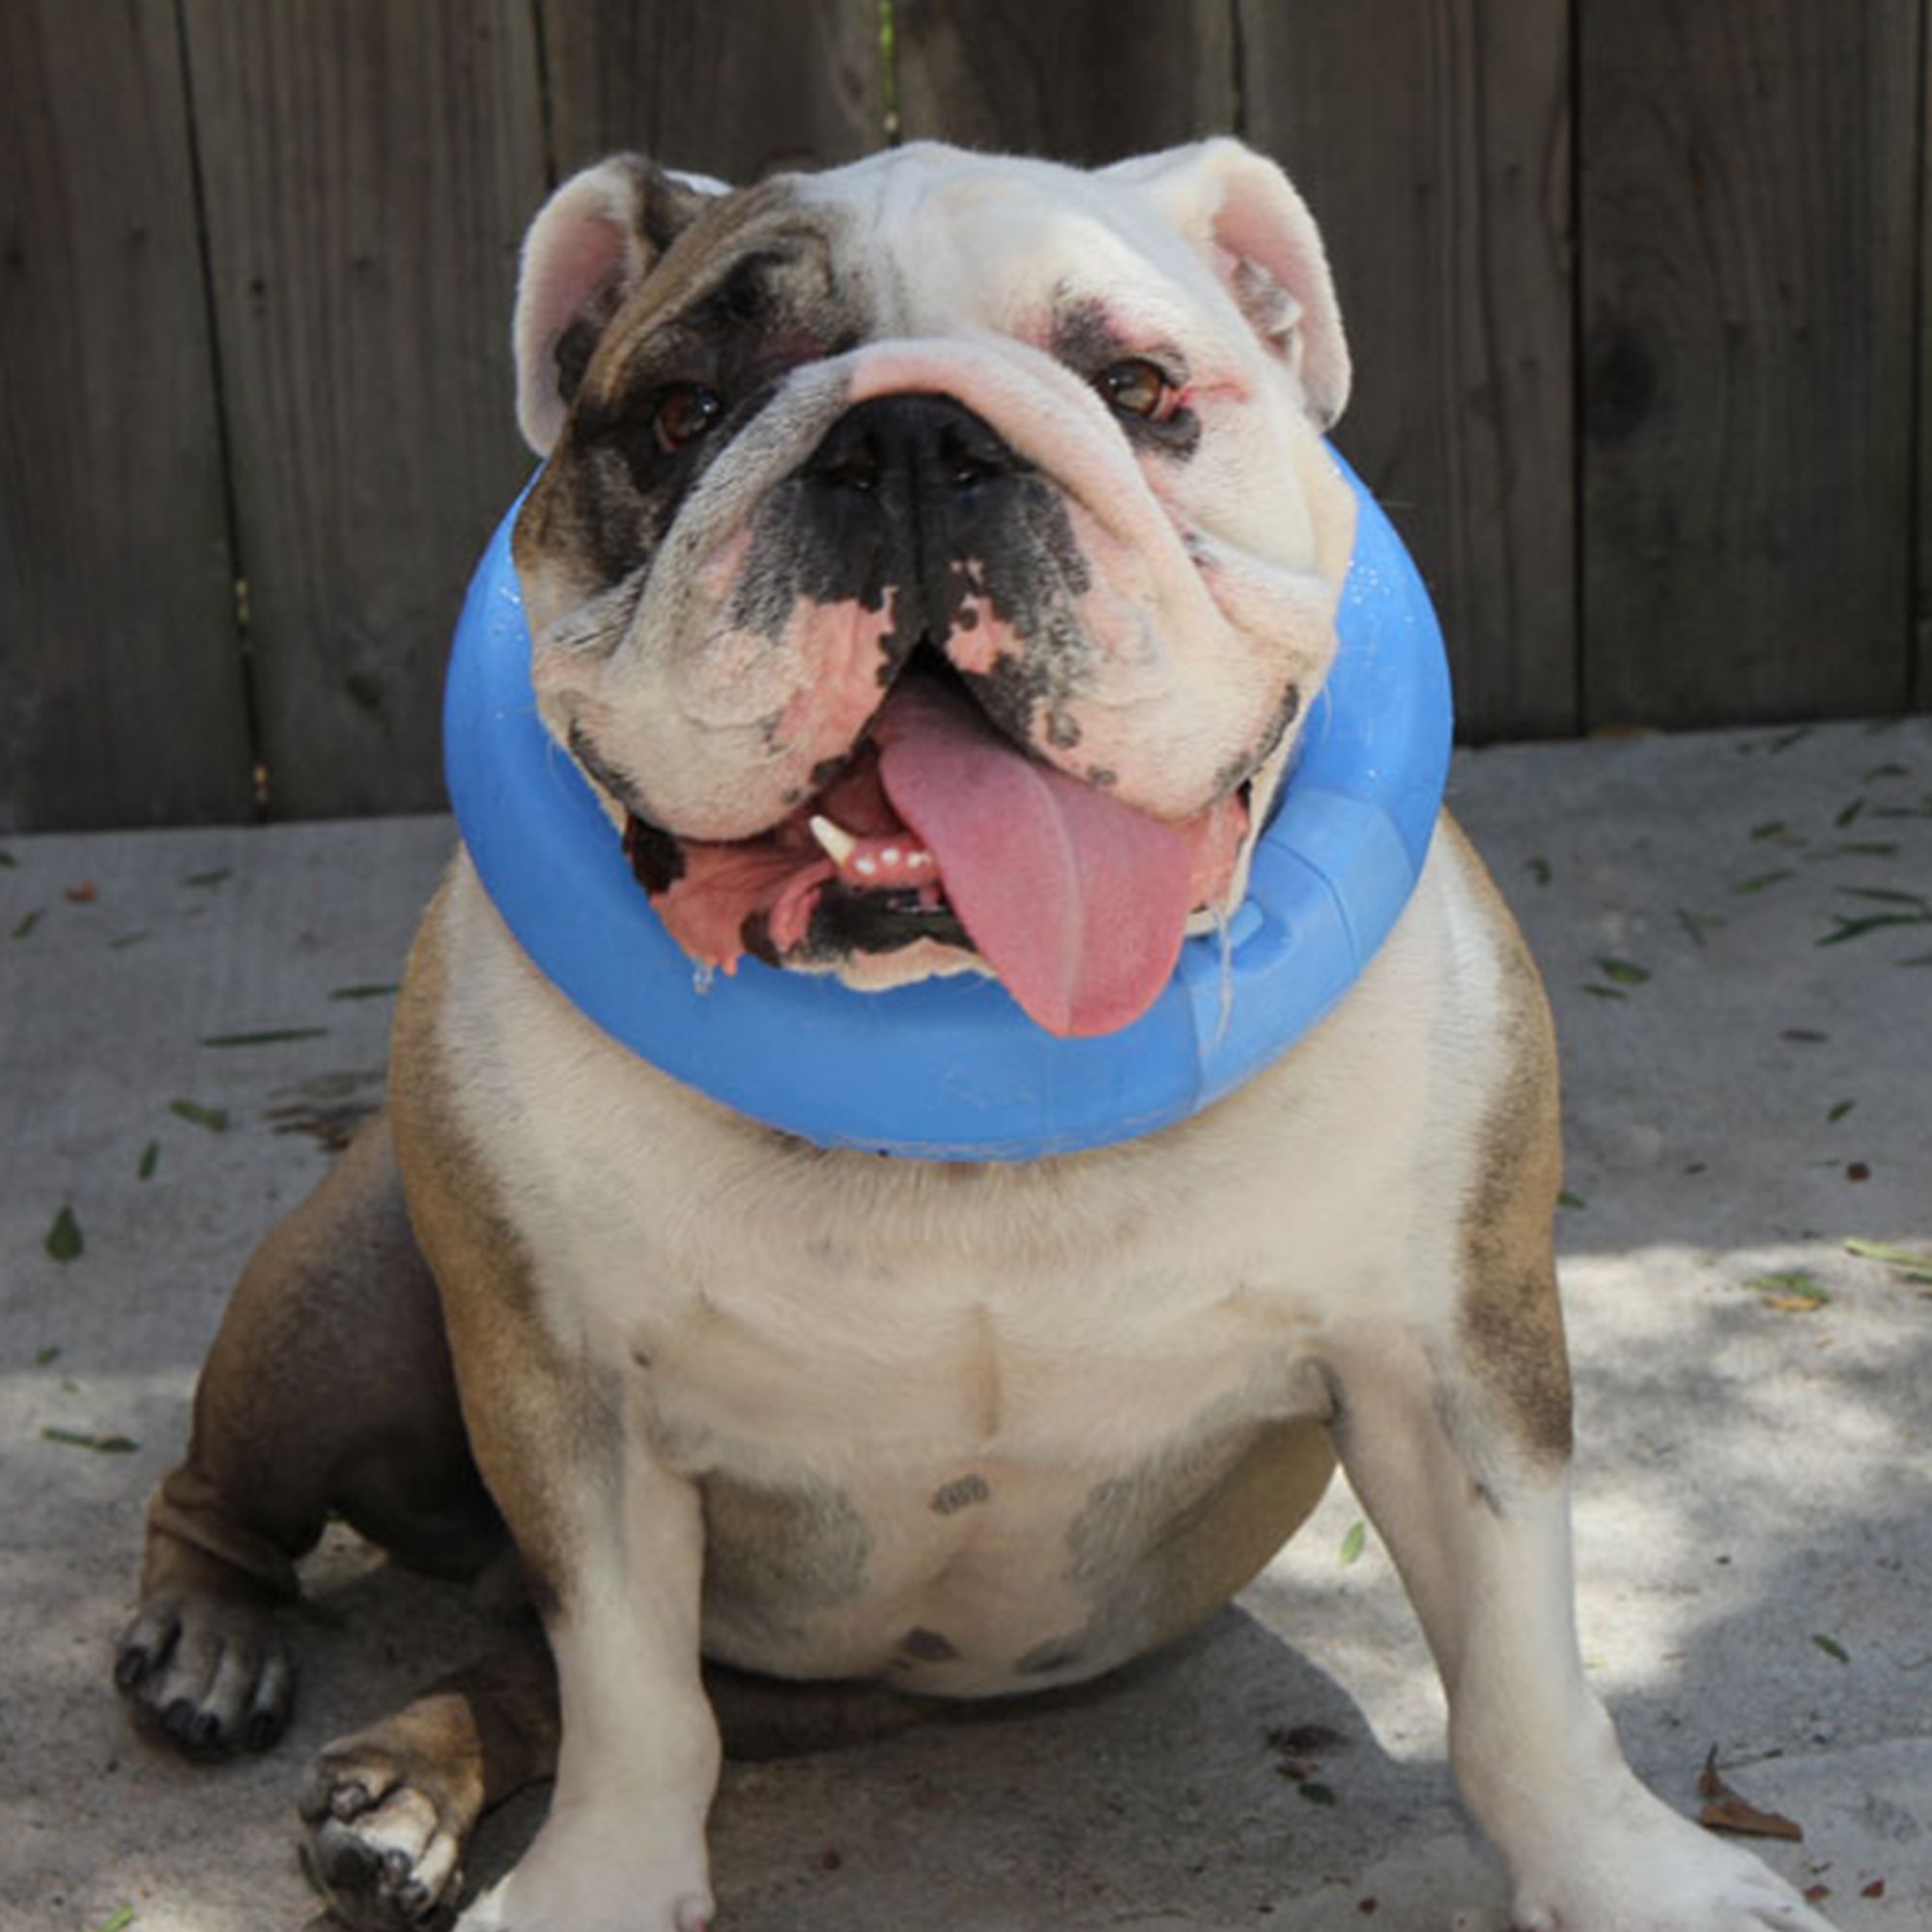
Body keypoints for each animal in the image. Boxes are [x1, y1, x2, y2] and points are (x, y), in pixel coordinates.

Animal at [116, 138, 1834, 1932]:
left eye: (1140, 389)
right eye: (680, 413)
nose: (912, 440)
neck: (964, 1037)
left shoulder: (1451, 1357)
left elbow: (1519, 1663)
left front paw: (1631, 1871)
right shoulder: (567, 1391)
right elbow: (632, 1700)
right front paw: (599, 1884)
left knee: (522, 1668)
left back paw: (403, 1781)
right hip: (346, 1289)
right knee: (241, 1508)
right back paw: (218, 1650)